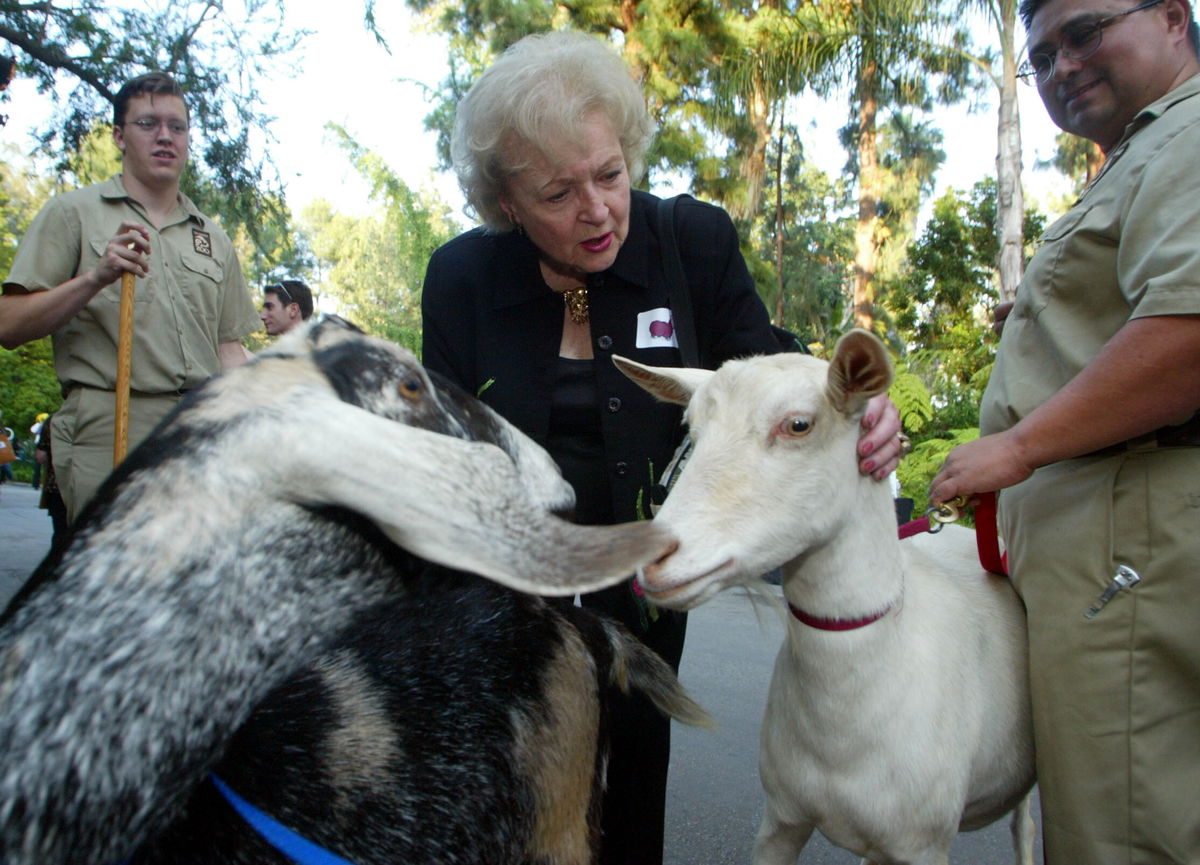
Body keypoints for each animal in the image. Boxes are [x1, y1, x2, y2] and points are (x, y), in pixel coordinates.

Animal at [614, 331, 1036, 863]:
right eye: (692, 426)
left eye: (799, 424)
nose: (649, 554)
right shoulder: (782, 818)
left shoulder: (921, 843)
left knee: (1025, 825)